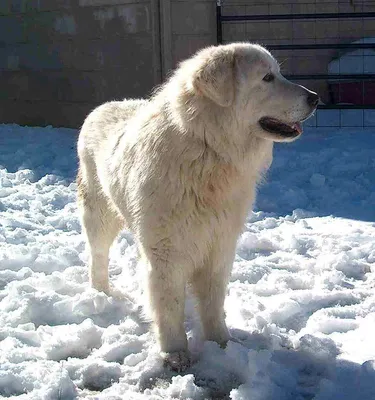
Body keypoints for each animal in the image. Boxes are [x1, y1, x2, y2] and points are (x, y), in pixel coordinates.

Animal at [78, 42, 318, 370]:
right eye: (268, 78)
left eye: (278, 73)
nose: (315, 98)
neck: (208, 149)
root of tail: (102, 107)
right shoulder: (165, 253)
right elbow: (169, 306)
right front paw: (175, 353)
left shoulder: (219, 246)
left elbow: (213, 302)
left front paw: (221, 344)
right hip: (100, 215)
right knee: (98, 255)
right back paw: (100, 293)